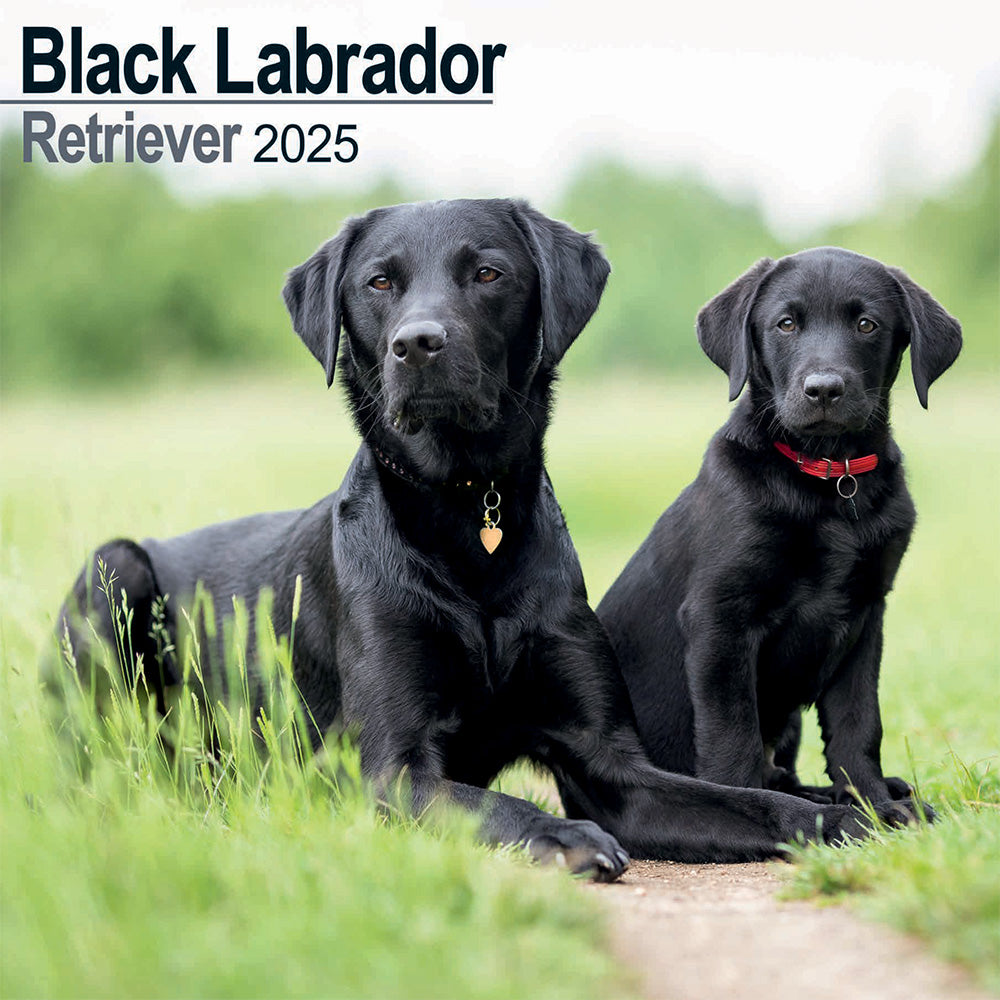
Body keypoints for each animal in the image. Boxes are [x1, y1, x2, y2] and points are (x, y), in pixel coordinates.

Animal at [60, 209, 908, 876]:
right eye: (379, 283)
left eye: (489, 273)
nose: (418, 344)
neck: (469, 513)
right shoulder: (391, 769)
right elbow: (492, 803)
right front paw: (562, 835)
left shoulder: (611, 765)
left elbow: (742, 801)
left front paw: (843, 814)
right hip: (116, 567)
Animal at [592, 246, 960, 808]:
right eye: (786, 324)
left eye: (867, 324)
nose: (824, 389)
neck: (830, 480)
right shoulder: (720, 620)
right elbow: (731, 734)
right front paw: (751, 808)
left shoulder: (866, 614)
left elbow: (858, 722)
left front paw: (873, 802)